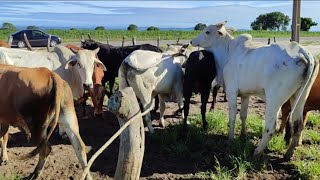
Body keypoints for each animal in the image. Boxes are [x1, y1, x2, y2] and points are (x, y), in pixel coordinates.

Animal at [191, 21, 318, 160]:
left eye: (207, 31)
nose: (192, 41)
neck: (228, 52)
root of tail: (303, 52)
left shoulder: (231, 91)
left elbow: (232, 116)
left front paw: (230, 139)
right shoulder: (245, 95)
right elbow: (243, 115)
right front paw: (242, 136)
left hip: (274, 99)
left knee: (271, 126)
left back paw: (257, 152)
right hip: (299, 97)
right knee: (298, 125)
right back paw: (288, 154)